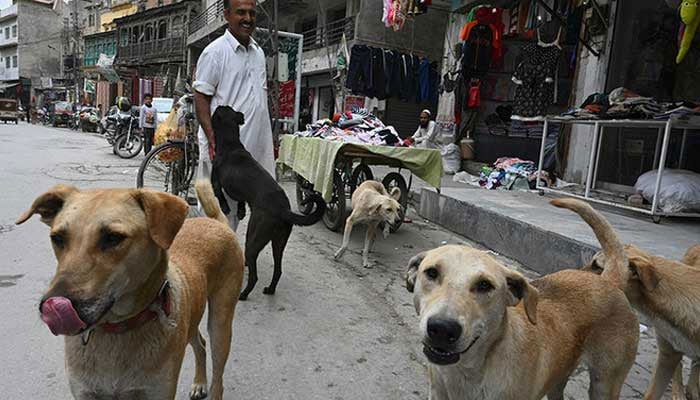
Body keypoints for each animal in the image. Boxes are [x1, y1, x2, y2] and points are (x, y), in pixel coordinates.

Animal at [15, 180, 245, 398]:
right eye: (58, 238)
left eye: (113, 237)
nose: (50, 305)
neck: (117, 329)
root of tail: (215, 221)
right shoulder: (85, 391)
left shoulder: (157, 392)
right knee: (201, 344)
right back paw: (199, 382)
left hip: (221, 325)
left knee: (218, 377)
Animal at [209, 106, 326, 300]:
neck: (230, 143)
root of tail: (283, 210)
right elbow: (241, 200)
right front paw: (240, 211)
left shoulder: (216, 181)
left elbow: (220, 195)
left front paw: (226, 207)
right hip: (279, 242)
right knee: (278, 270)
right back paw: (270, 289)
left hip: (254, 237)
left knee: (254, 276)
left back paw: (243, 294)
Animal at [404, 244, 640, 400]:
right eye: (431, 272)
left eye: (484, 285)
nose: (442, 329)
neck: (468, 373)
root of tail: (608, 281)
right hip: (558, 377)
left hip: (605, 385)